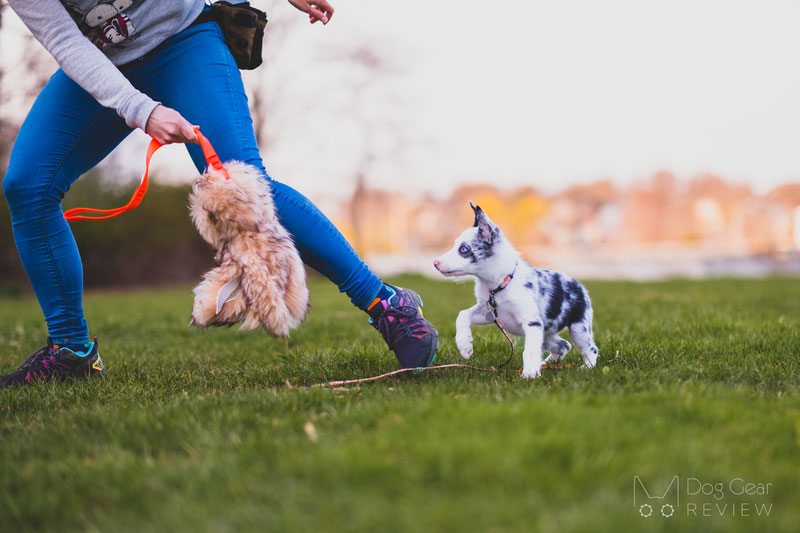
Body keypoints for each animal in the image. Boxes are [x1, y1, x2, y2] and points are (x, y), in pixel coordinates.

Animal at [434, 201, 596, 378]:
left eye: (463, 249)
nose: (435, 262)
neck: (500, 284)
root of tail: (580, 286)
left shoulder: (531, 323)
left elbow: (529, 351)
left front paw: (530, 375)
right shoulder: (489, 313)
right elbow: (463, 315)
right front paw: (464, 345)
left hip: (578, 329)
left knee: (591, 349)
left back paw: (586, 368)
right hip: (546, 335)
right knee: (564, 345)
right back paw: (546, 363)